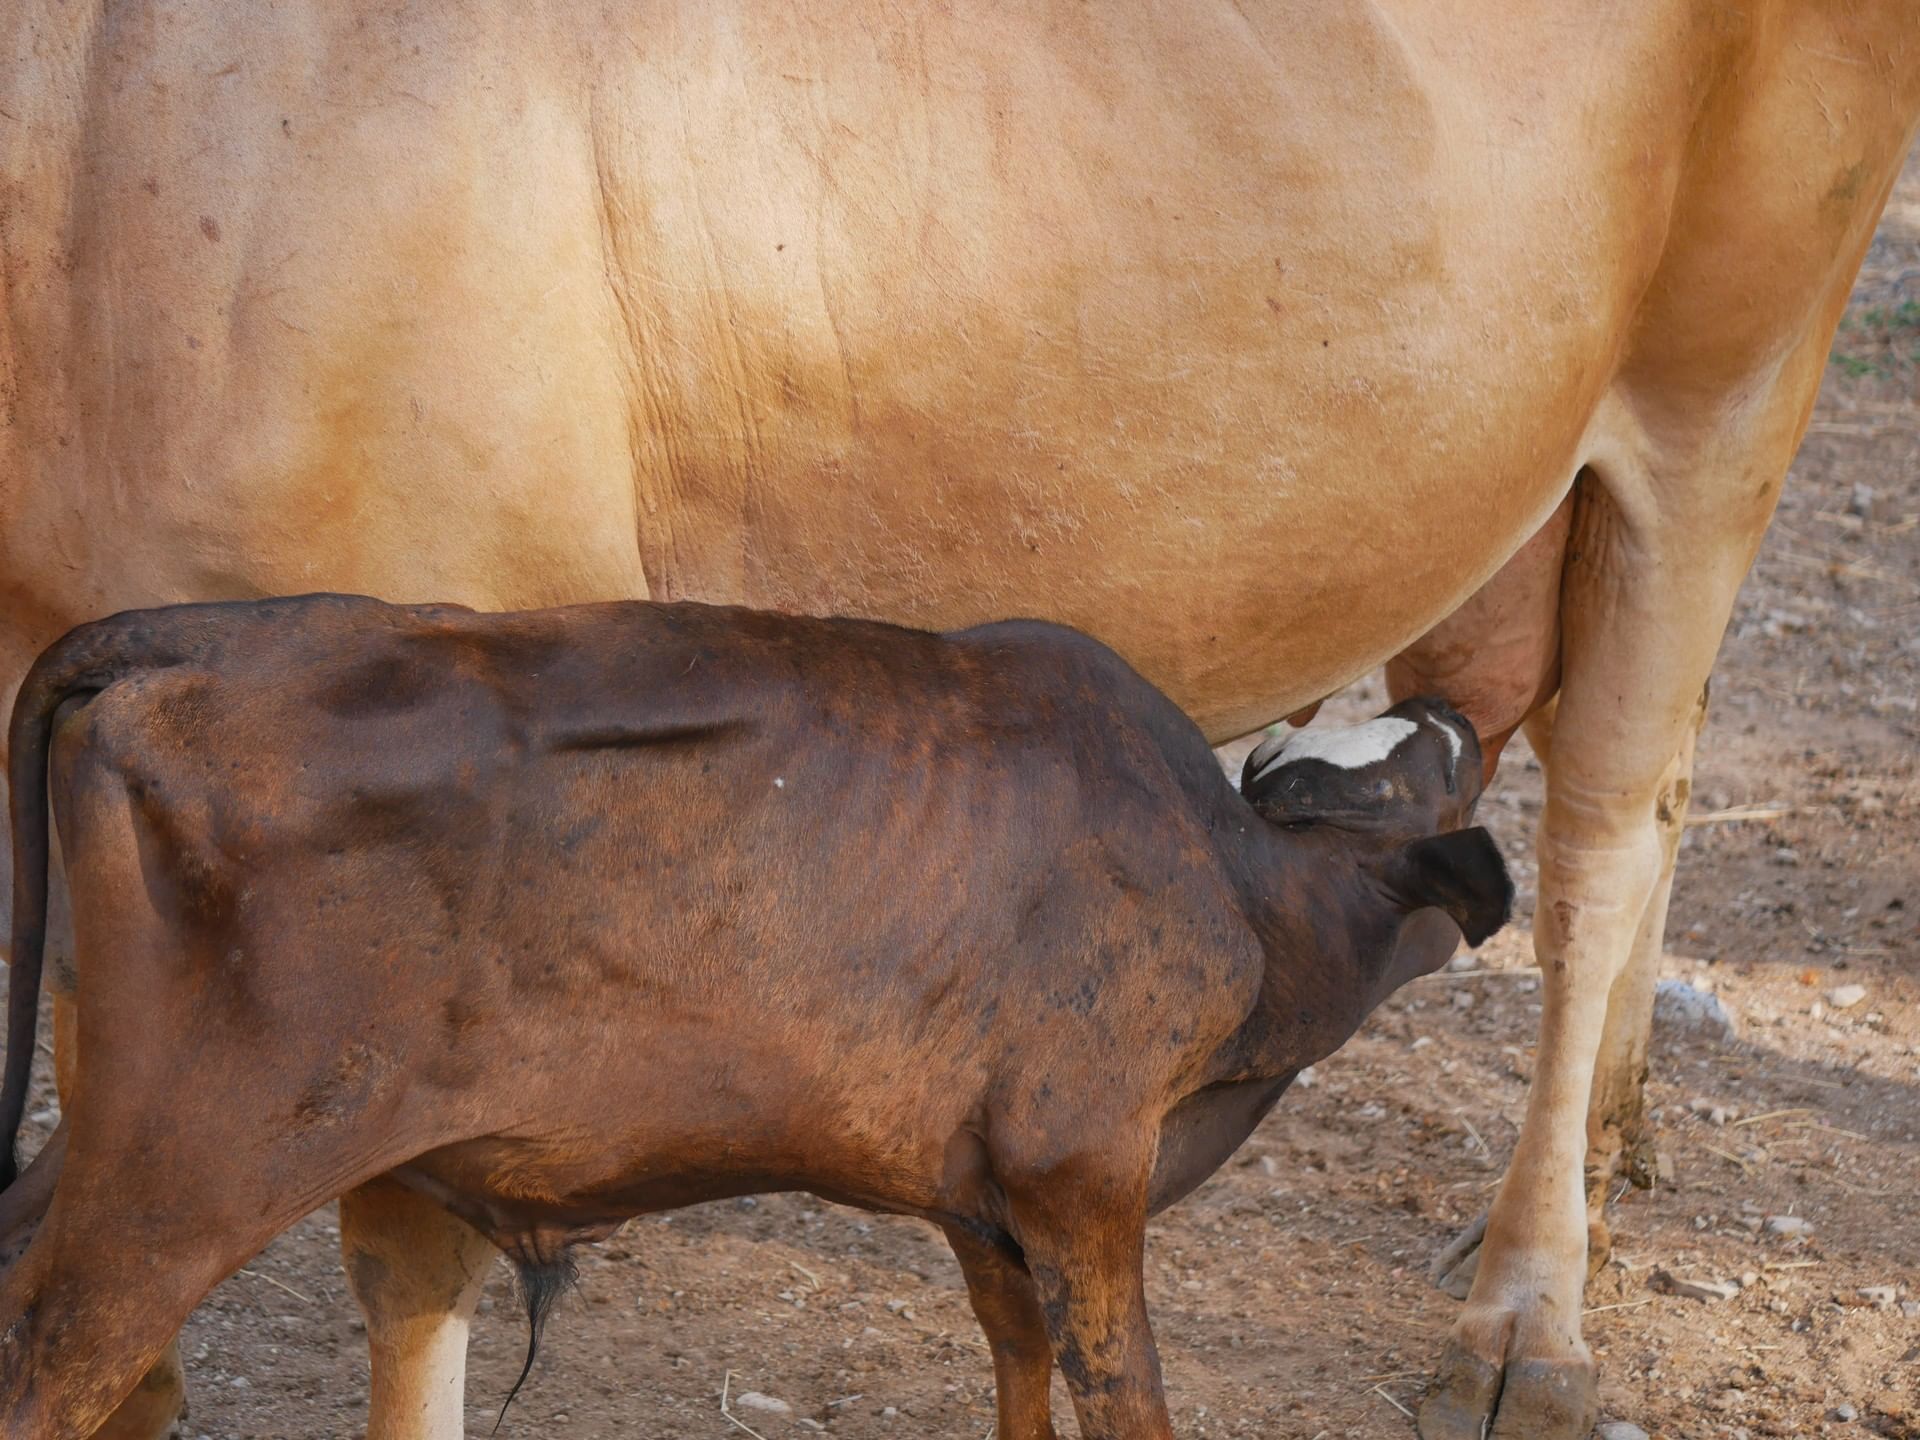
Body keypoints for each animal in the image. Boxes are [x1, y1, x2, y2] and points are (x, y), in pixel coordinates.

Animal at [0, 594, 1513, 1440]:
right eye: (1413, 784)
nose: (1449, 702)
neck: (1246, 892)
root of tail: (225, 624)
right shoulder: (1079, 1175)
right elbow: (1124, 1401)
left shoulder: (985, 1211)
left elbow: (1020, 1379)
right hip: (182, 1187)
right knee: (58, 1371)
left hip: (101, 1140)